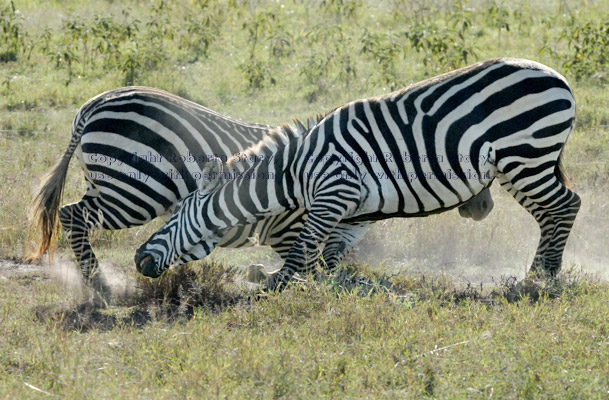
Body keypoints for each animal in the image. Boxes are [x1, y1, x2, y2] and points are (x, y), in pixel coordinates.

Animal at [134, 57, 580, 290]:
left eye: (174, 216)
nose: (138, 258)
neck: (294, 172)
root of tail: (556, 75)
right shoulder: (356, 212)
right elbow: (329, 256)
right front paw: (331, 287)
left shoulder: (333, 192)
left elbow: (302, 249)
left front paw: (276, 284)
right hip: (520, 163)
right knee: (550, 213)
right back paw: (538, 272)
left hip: (526, 155)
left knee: (565, 206)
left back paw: (542, 278)